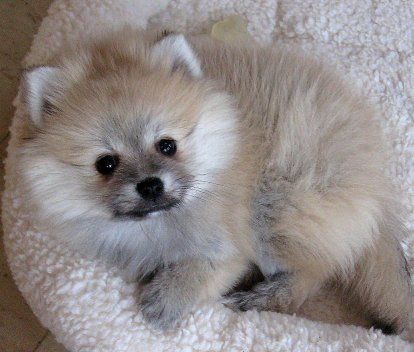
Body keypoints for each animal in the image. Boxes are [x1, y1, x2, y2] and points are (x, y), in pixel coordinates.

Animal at [17, 28, 410, 332]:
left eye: (167, 145)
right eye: (106, 164)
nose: (150, 184)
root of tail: (377, 182)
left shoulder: (230, 248)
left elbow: (202, 268)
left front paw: (166, 299)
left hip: (276, 209)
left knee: (316, 272)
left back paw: (259, 298)